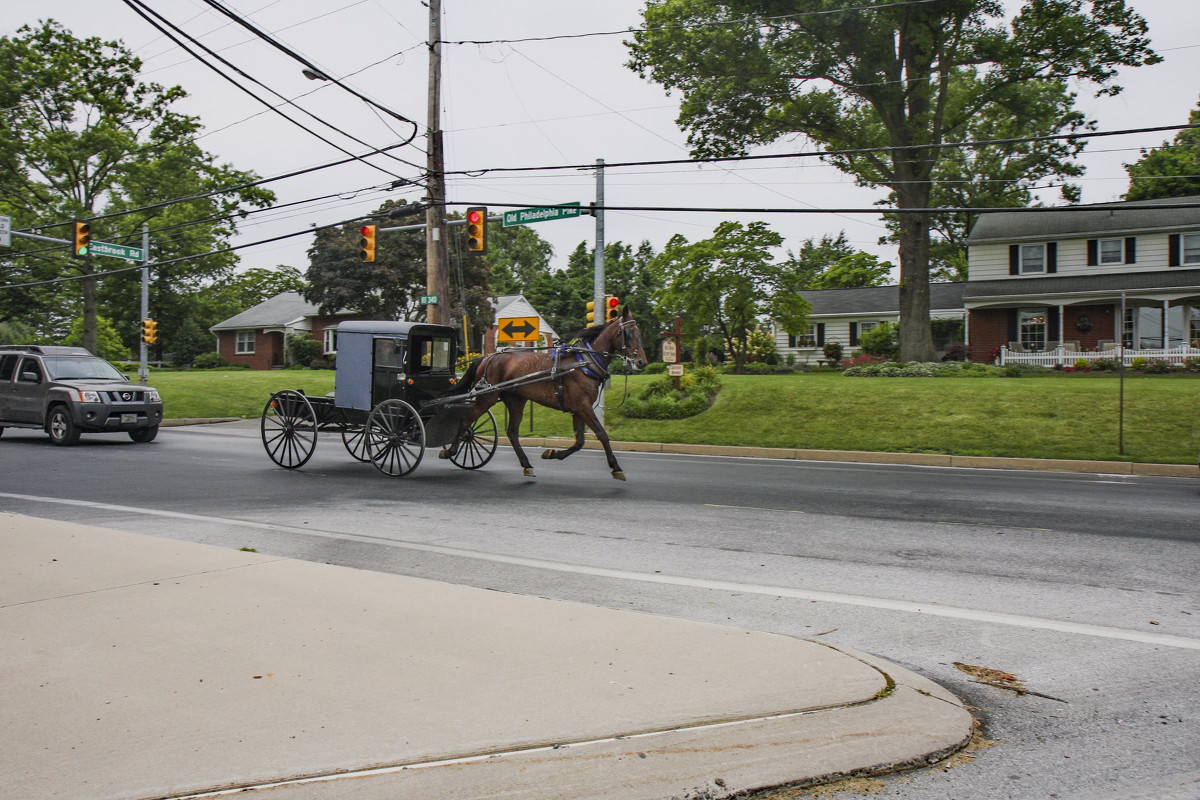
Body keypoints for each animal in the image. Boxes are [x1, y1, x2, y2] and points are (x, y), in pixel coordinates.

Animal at [441, 309, 648, 479]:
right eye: (628, 333)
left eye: (639, 333)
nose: (641, 362)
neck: (584, 362)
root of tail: (488, 357)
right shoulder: (583, 406)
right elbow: (601, 434)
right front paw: (616, 467)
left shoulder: (578, 409)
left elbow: (580, 441)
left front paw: (552, 453)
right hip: (487, 397)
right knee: (465, 422)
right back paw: (450, 451)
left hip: (516, 401)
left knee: (512, 432)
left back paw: (527, 465)